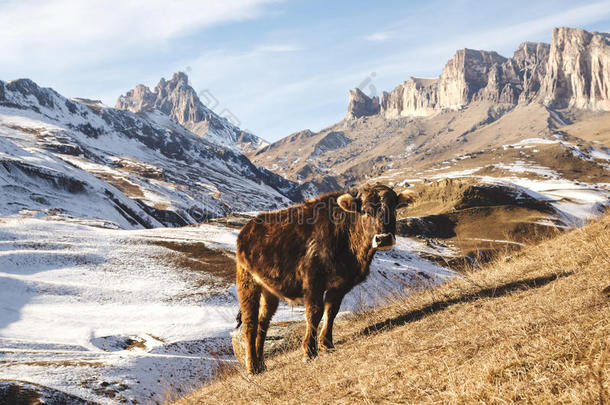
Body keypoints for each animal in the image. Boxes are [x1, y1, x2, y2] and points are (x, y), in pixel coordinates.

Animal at [234, 183, 414, 372]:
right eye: (365, 211)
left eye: (393, 209)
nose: (383, 238)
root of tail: (248, 228)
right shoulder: (313, 280)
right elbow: (315, 312)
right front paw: (309, 350)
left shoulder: (342, 283)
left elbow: (332, 311)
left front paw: (326, 343)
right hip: (247, 281)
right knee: (250, 323)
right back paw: (252, 366)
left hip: (269, 291)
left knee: (263, 322)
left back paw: (261, 363)